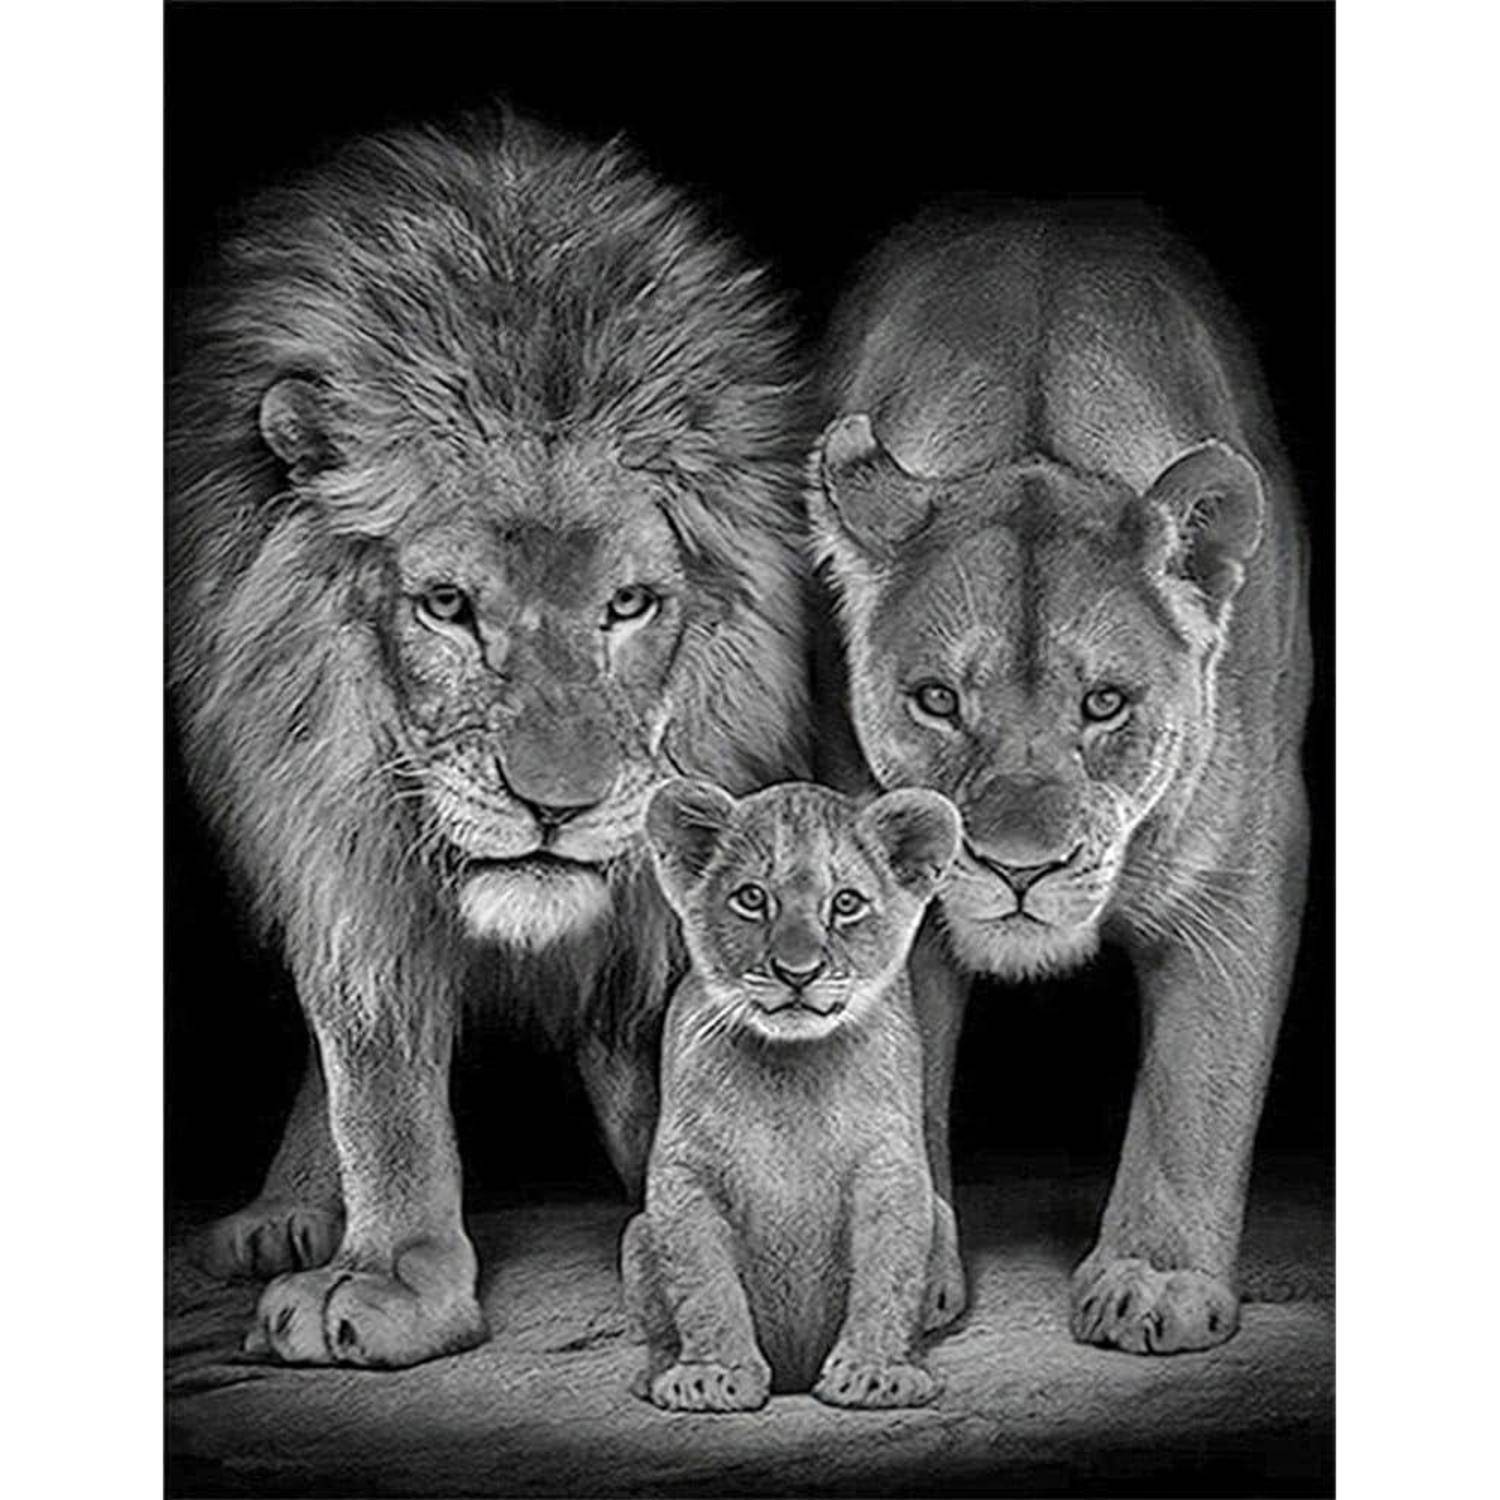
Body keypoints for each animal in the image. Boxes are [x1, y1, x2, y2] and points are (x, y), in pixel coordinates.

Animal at [167, 107, 811, 1368]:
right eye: (449, 605)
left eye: (630, 605)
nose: (556, 806)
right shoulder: (337, 835)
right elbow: (374, 1068)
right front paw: (387, 1277)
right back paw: (287, 1215)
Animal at [623, 779, 960, 1411]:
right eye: (752, 898)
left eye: (846, 903)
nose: (797, 971)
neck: (792, 1065)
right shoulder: (685, 1173)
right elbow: (703, 1285)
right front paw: (713, 1375)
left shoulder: (890, 1166)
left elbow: (889, 1274)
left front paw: (874, 1373)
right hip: (635, 1234)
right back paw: (655, 1373)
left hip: (945, 1218)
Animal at [808, 205, 1312, 1354]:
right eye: (937, 700)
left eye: (1107, 703)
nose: (1018, 869)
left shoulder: (1247, 861)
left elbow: (1199, 1083)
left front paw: (1155, 1283)